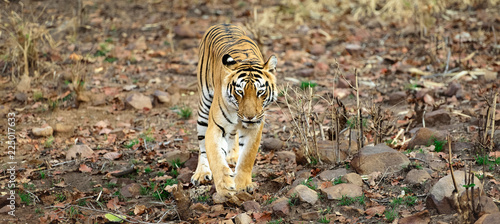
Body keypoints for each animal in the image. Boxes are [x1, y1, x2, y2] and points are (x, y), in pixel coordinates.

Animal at [190, 23, 278, 197]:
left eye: (260, 92)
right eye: (240, 91)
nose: (250, 117)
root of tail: (223, 23)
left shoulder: (255, 128)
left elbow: (247, 158)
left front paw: (242, 185)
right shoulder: (215, 128)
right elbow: (216, 157)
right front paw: (225, 186)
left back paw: (233, 156)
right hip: (204, 107)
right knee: (202, 147)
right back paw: (202, 173)